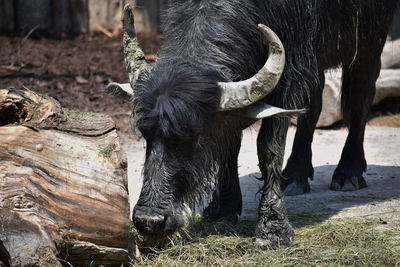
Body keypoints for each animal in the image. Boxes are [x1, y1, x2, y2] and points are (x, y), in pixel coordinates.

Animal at [108, 0, 398, 247]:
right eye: (145, 134)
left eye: (195, 137)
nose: (149, 221)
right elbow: (229, 143)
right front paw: (222, 210)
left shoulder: (290, 75)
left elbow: (268, 148)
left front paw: (273, 228)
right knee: (315, 103)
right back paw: (295, 175)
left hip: (369, 41)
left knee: (362, 95)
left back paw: (348, 173)